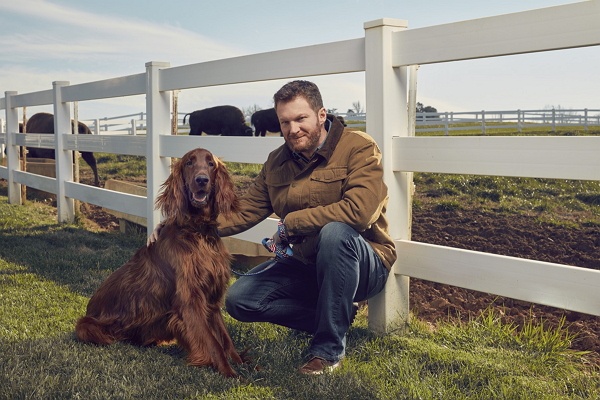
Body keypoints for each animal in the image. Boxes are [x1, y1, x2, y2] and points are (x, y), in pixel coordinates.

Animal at [75, 148, 244, 378]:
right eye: (189, 163)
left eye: (211, 164)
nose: (202, 180)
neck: (197, 230)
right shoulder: (190, 300)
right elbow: (213, 342)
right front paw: (229, 372)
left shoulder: (212, 297)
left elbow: (224, 338)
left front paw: (240, 362)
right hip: (85, 325)